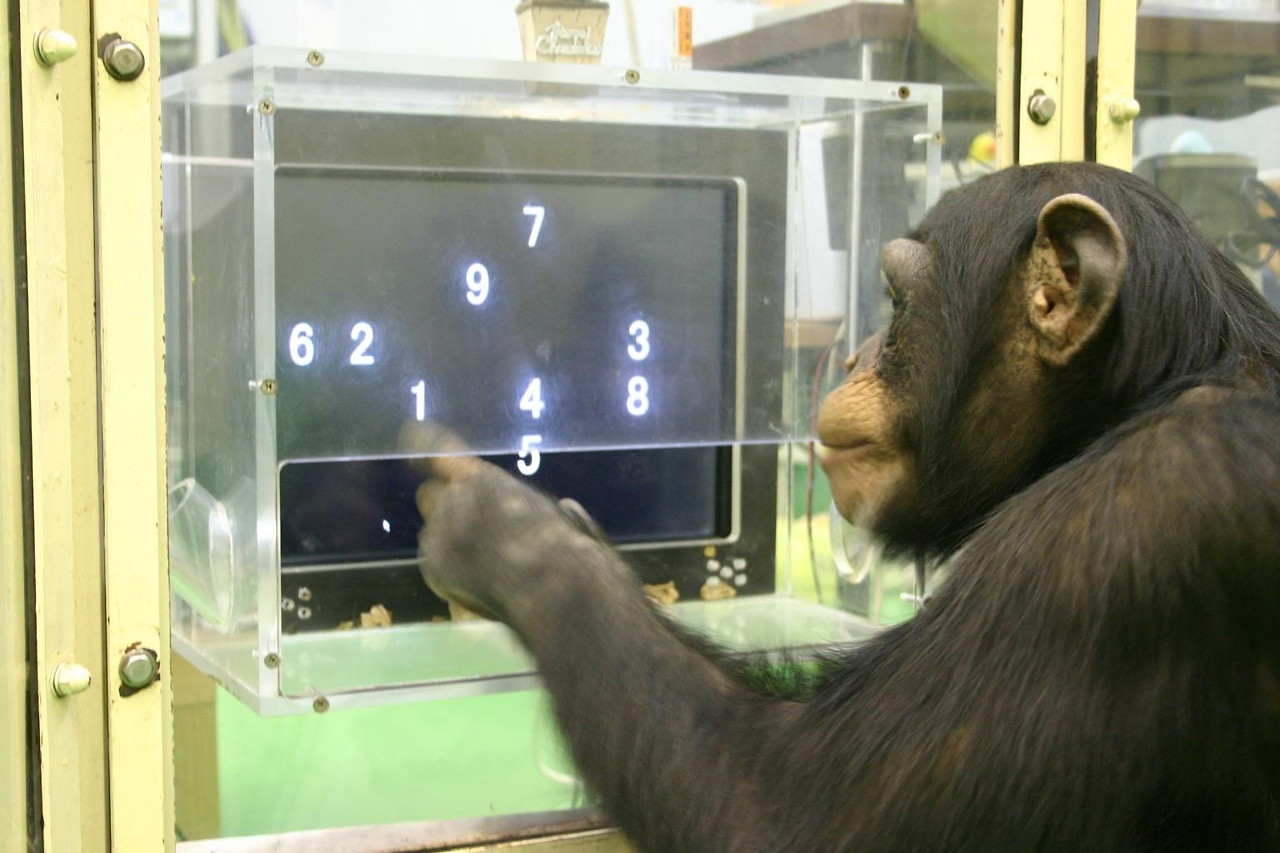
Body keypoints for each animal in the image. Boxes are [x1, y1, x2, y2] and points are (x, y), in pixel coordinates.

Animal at [412, 162, 1280, 851]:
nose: (856, 351)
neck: (1139, 392)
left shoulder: (1112, 536)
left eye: (895, 300)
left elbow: (782, 810)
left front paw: (504, 534)